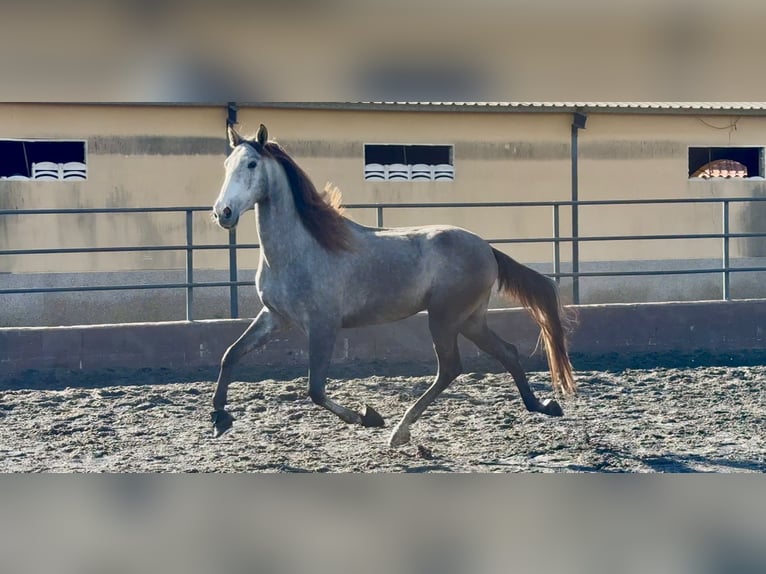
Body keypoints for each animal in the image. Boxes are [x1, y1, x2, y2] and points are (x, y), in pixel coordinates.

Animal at [210, 123, 576, 447]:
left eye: (252, 164)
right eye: (226, 165)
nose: (222, 212)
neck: (300, 248)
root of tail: (487, 248)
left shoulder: (323, 325)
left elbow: (315, 389)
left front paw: (368, 416)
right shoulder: (275, 317)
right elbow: (230, 355)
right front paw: (219, 419)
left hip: (444, 318)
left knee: (451, 368)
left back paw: (399, 431)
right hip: (470, 320)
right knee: (507, 352)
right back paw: (544, 406)